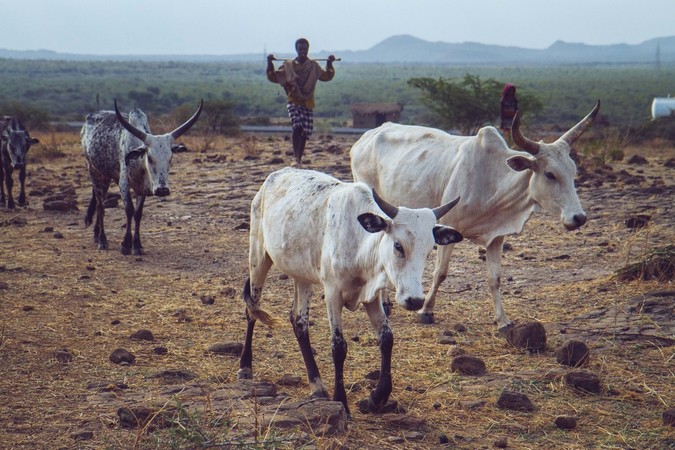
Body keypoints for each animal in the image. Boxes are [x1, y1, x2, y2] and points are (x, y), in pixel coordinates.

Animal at [238, 168, 464, 414]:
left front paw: (377, 397)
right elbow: (339, 346)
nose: (415, 300)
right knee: (252, 310)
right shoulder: (332, 294)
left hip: (302, 277)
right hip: (258, 257)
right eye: (398, 245)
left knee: (299, 322)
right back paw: (245, 366)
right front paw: (342, 402)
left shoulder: (372, 297)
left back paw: (317, 384)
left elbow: (386, 338)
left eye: (430, 249)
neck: (359, 242)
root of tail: (277, 175)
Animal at [352, 102, 600, 328]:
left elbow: (494, 279)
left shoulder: (497, 237)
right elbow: (440, 273)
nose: (579, 218)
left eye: (574, 172)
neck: (492, 181)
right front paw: (426, 311)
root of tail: (365, 137)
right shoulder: (448, 227)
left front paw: (503, 321)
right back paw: (384, 303)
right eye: (550, 174)